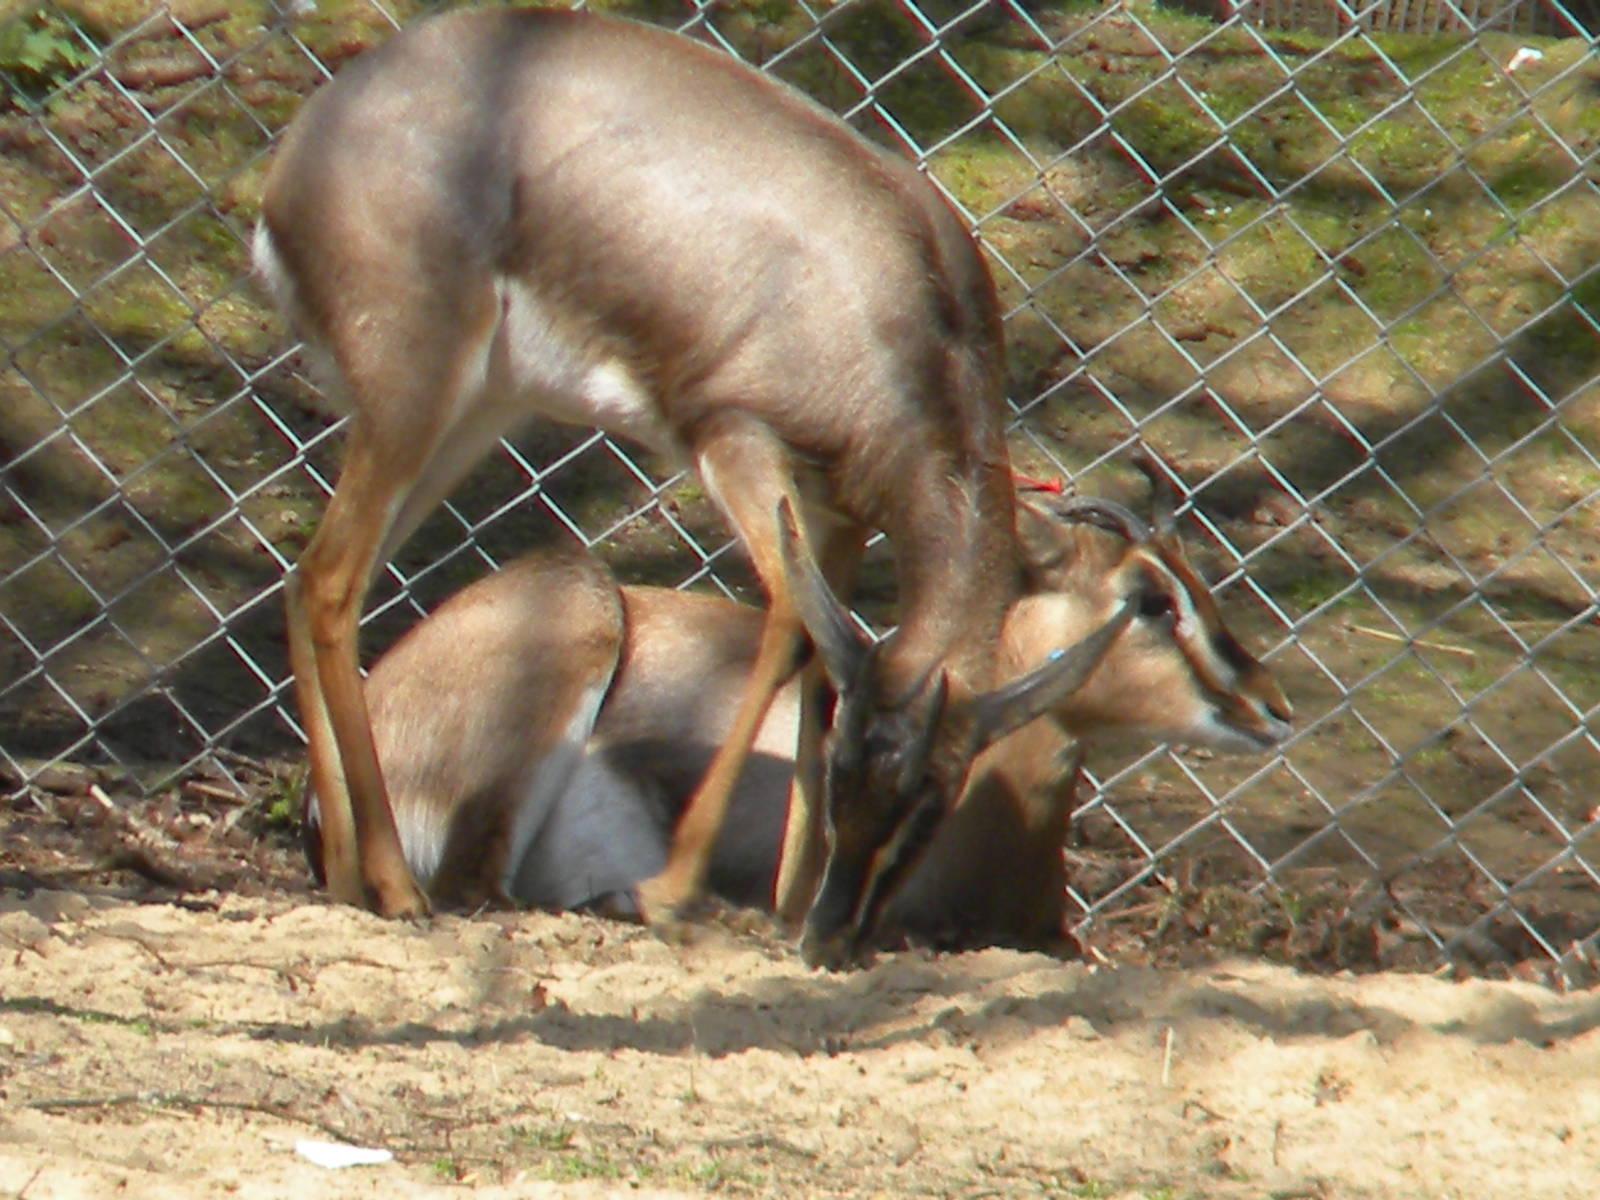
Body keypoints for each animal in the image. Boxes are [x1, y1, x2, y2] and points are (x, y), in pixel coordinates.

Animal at [256, 7, 1083, 933]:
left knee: (311, 580)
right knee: (332, 580)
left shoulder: (836, 518)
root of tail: (301, 152)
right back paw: (397, 885)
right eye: (854, 780)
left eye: (932, 804)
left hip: (471, 419)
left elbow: (824, 668)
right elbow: (792, 628)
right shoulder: (736, 443)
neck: (905, 319)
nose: (839, 932)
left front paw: (784, 909)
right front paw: (667, 889)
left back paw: (347, 877)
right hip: (415, 403)